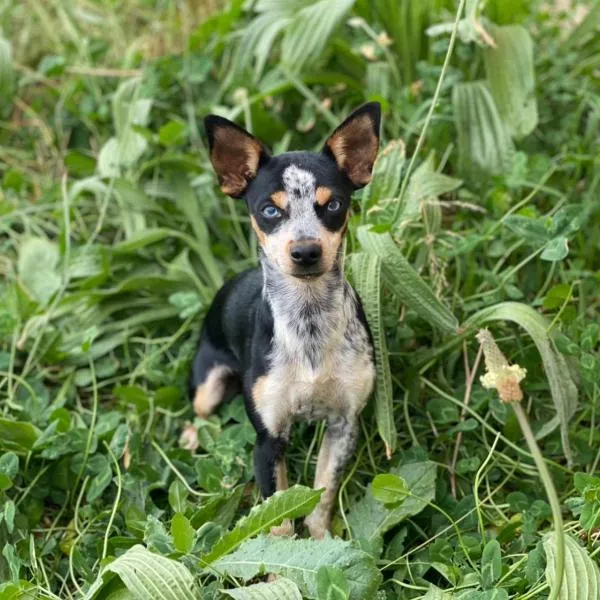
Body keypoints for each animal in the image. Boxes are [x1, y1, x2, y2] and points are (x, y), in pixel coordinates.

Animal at [190, 103, 382, 540]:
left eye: (333, 205)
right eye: (269, 210)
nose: (306, 251)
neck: (308, 320)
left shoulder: (344, 426)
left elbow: (321, 495)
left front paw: (321, 541)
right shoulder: (268, 440)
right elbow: (276, 519)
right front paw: (279, 556)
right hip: (208, 385)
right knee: (198, 411)